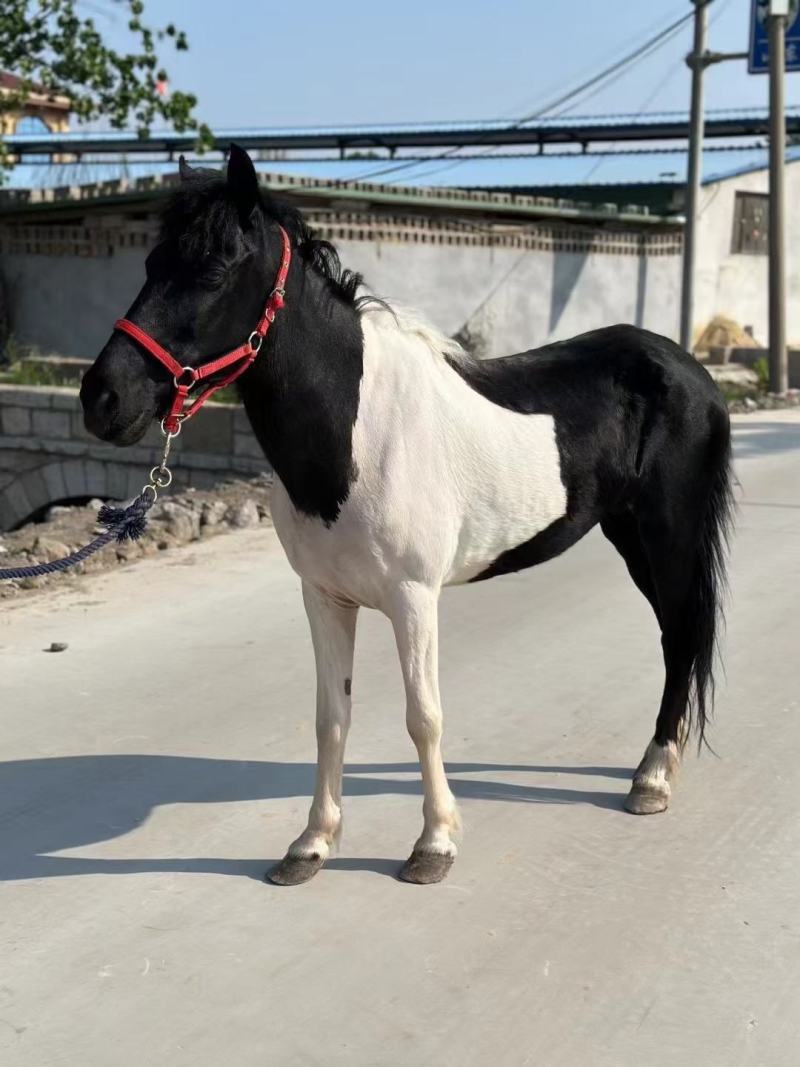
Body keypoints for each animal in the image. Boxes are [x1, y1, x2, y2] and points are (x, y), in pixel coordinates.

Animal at [80, 145, 733, 886]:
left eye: (213, 270)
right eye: (151, 264)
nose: (102, 398)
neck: (356, 432)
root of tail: (687, 367)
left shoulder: (413, 597)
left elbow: (424, 716)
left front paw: (434, 844)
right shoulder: (324, 598)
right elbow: (331, 717)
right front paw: (311, 844)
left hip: (668, 535)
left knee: (681, 636)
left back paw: (652, 776)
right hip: (631, 536)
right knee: (676, 637)